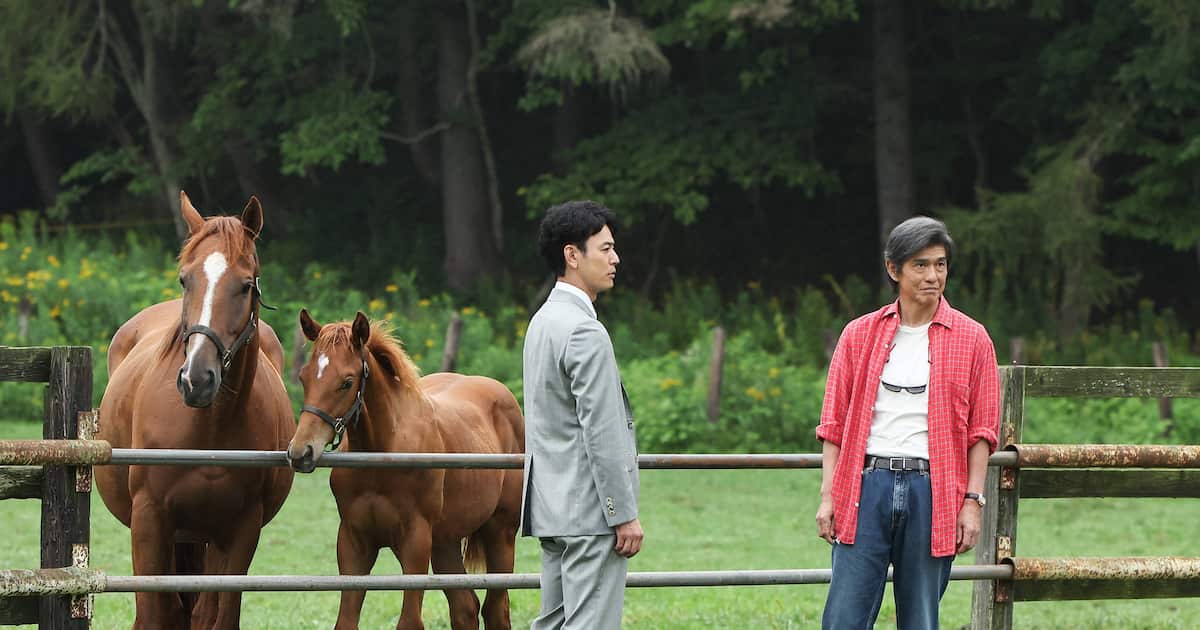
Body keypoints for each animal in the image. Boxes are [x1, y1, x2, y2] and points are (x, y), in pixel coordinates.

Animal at [95, 191, 295, 629]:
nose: (197, 379)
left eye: (245, 286)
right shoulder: (149, 522)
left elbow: (218, 615)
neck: (208, 432)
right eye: (185, 279)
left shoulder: (240, 530)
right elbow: (155, 613)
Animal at [286, 310, 525, 630]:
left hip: (500, 533)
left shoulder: (415, 542)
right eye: (304, 377)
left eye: (347, 382)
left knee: (495, 609)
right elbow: (346, 620)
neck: (382, 454)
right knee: (466, 607)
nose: (301, 452)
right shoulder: (354, 542)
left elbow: (410, 620)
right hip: (446, 542)